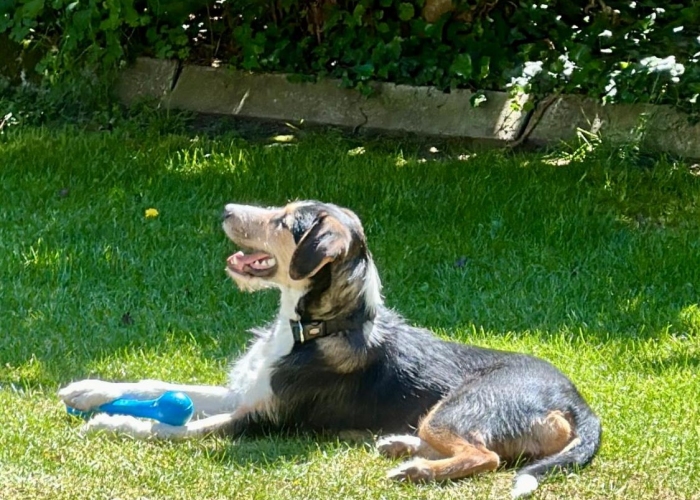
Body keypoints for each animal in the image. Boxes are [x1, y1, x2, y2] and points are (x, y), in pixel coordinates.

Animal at [58, 201, 600, 498]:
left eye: (284, 222)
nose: (226, 211)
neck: (312, 328)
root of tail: (577, 402)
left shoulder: (263, 420)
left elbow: (173, 428)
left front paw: (113, 423)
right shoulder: (245, 393)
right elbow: (160, 383)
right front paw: (88, 389)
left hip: (460, 408)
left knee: (484, 456)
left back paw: (416, 468)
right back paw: (399, 445)